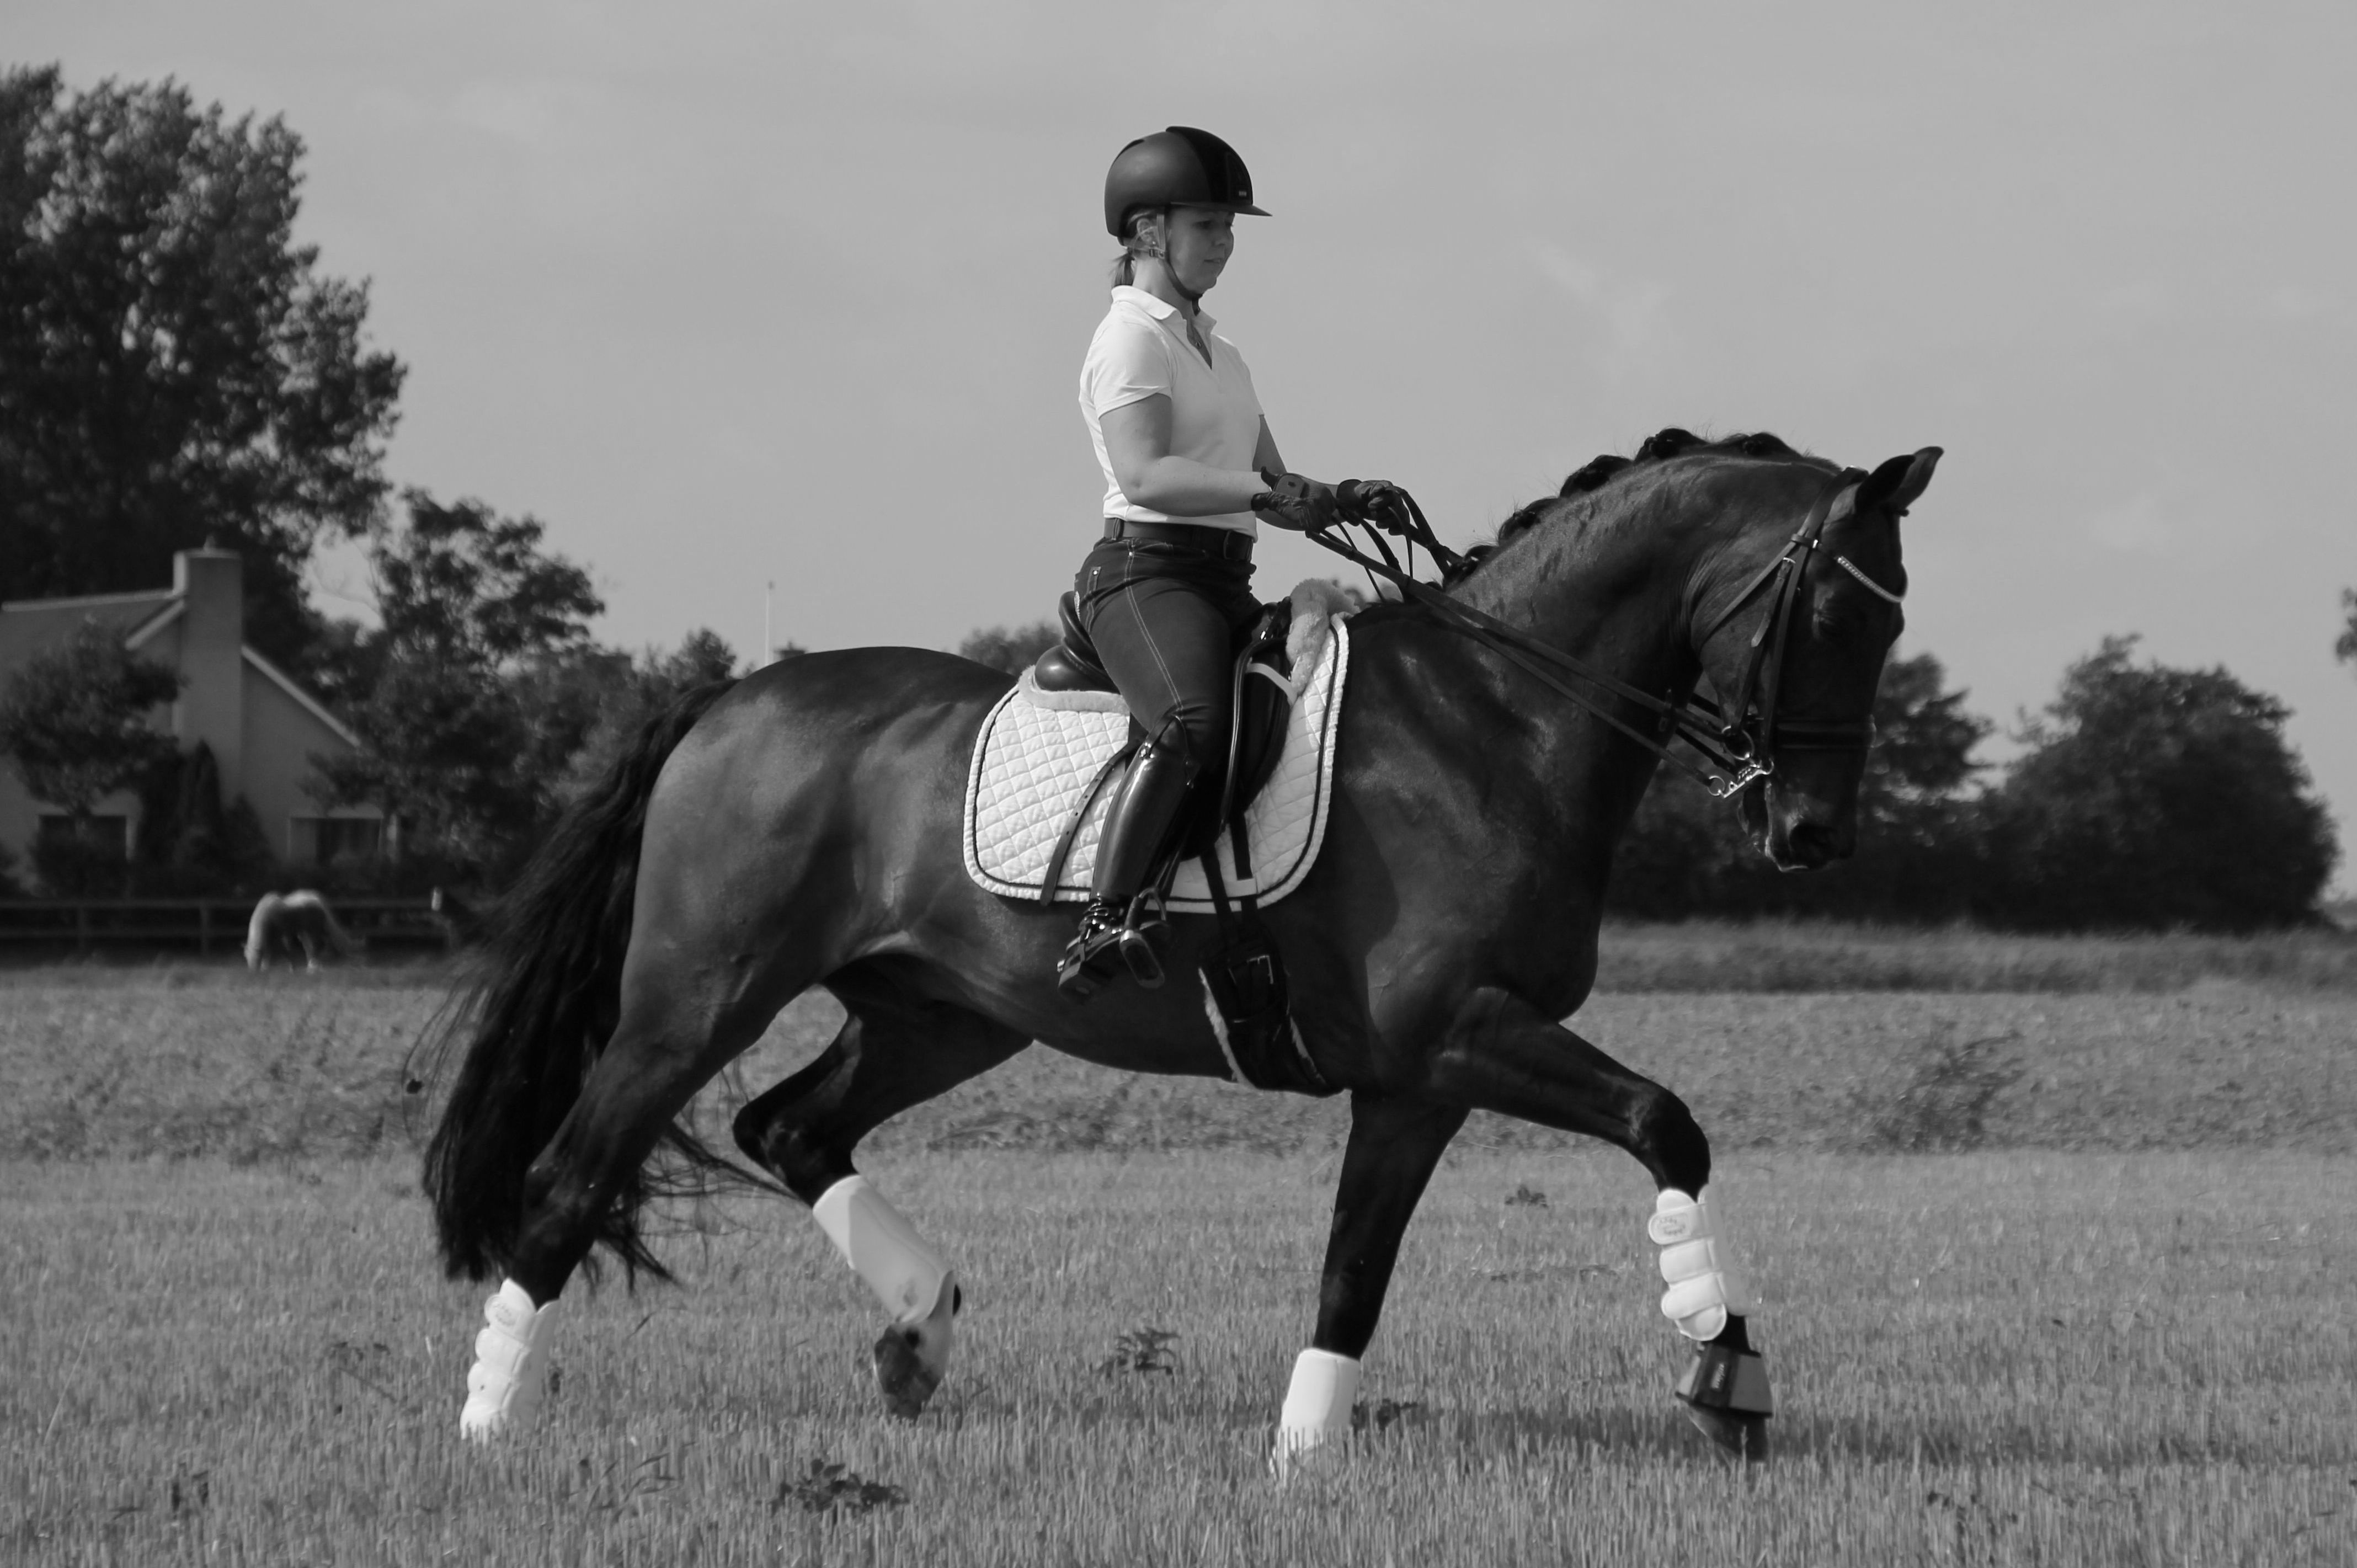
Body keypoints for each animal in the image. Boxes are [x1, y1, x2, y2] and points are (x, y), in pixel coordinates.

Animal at [241, 891, 351, 967]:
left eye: (256, 959)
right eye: (246, 959)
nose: (253, 972)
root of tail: (318, 901)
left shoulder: (278, 935)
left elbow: (279, 950)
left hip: (314, 930)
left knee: (320, 943)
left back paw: (314, 963)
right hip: (309, 931)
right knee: (318, 943)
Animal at [419, 424, 1933, 1471]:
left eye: (1892, 618)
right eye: (1829, 613)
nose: (1812, 833)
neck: (1498, 721)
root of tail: (728, 699)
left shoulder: (1418, 1080)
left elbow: (1353, 1265)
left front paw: (1303, 1452)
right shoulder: (1463, 1032)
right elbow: (1668, 1124)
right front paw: (1726, 1374)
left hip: (940, 1012)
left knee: (789, 1127)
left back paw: (917, 1332)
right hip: (697, 998)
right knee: (571, 1173)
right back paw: (490, 1417)